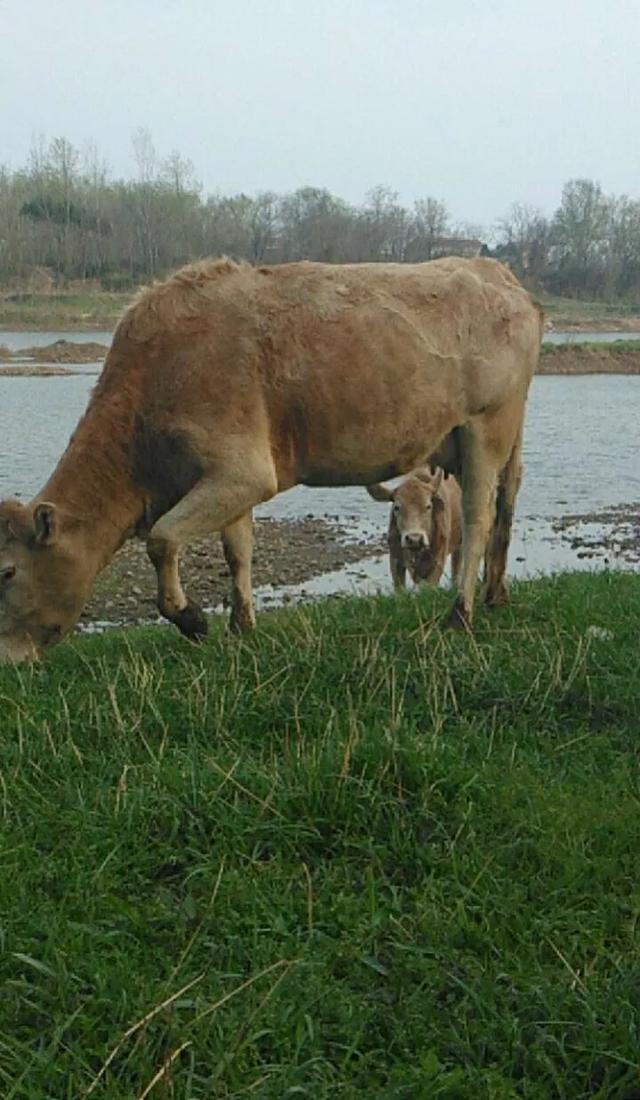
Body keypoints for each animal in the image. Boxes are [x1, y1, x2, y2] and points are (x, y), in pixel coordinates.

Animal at [0, 255, 545, 660]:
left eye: (6, 572)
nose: (8, 662)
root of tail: (499, 274)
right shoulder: (229, 479)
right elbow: (237, 549)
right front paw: (241, 625)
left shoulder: (243, 470)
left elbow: (162, 537)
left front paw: (192, 619)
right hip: (493, 437)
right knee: (506, 506)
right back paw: (495, 595)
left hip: (486, 427)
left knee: (477, 517)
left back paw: (460, 615)